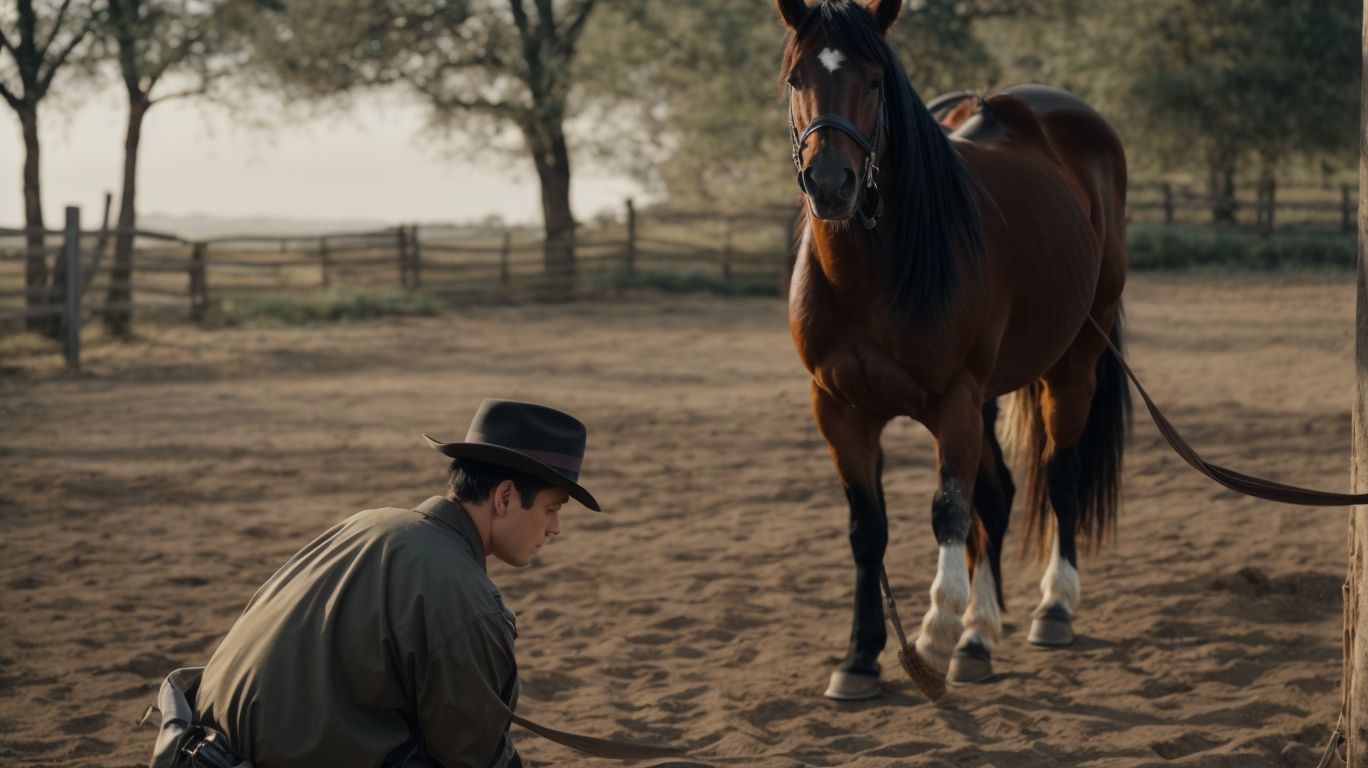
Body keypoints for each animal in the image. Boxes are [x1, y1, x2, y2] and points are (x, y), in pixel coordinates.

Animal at [775, 0, 1130, 700]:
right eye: (797, 77)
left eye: (876, 80)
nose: (831, 183)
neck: (870, 279)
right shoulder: (839, 411)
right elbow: (869, 530)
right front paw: (860, 657)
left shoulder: (953, 403)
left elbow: (948, 511)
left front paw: (937, 632)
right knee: (998, 497)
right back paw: (981, 634)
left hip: (1072, 362)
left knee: (1060, 476)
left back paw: (1051, 608)